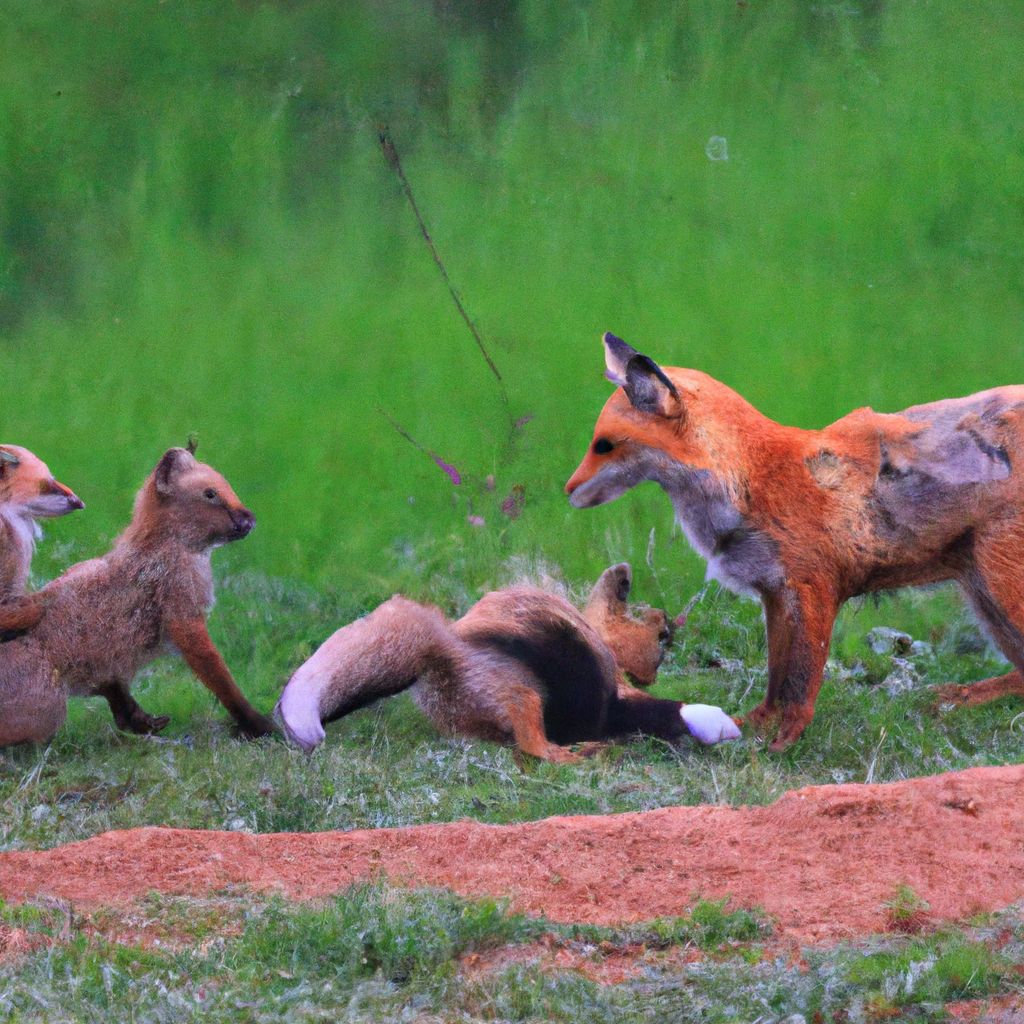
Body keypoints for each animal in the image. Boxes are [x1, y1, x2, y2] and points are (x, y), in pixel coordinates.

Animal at [276, 561, 741, 761]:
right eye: (662, 637)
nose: (670, 624)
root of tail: (439, 655)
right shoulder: (613, 699)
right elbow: (674, 712)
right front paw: (718, 724)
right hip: (521, 694)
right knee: (532, 744)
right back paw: (568, 755)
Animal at [565, 331, 1024, 749]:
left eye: (604, 445)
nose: (568, 491)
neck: (751, 482)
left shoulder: (814, 588)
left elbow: (801, 683)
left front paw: (784, 743)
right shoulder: (775, 592)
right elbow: (777, 679)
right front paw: (757, 727)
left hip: (999, 586)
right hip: (983, 593)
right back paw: (960, 697)